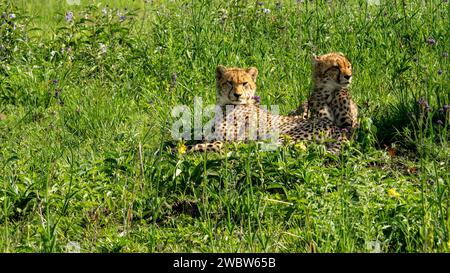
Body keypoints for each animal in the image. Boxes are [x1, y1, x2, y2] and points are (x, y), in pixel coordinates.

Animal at [184, 64, 352, 152]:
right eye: (229, 82)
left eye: (244, 83)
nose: (238, 95)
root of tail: (337, 127)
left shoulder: (227, 140)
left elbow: (199, 147)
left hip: (284, 134)